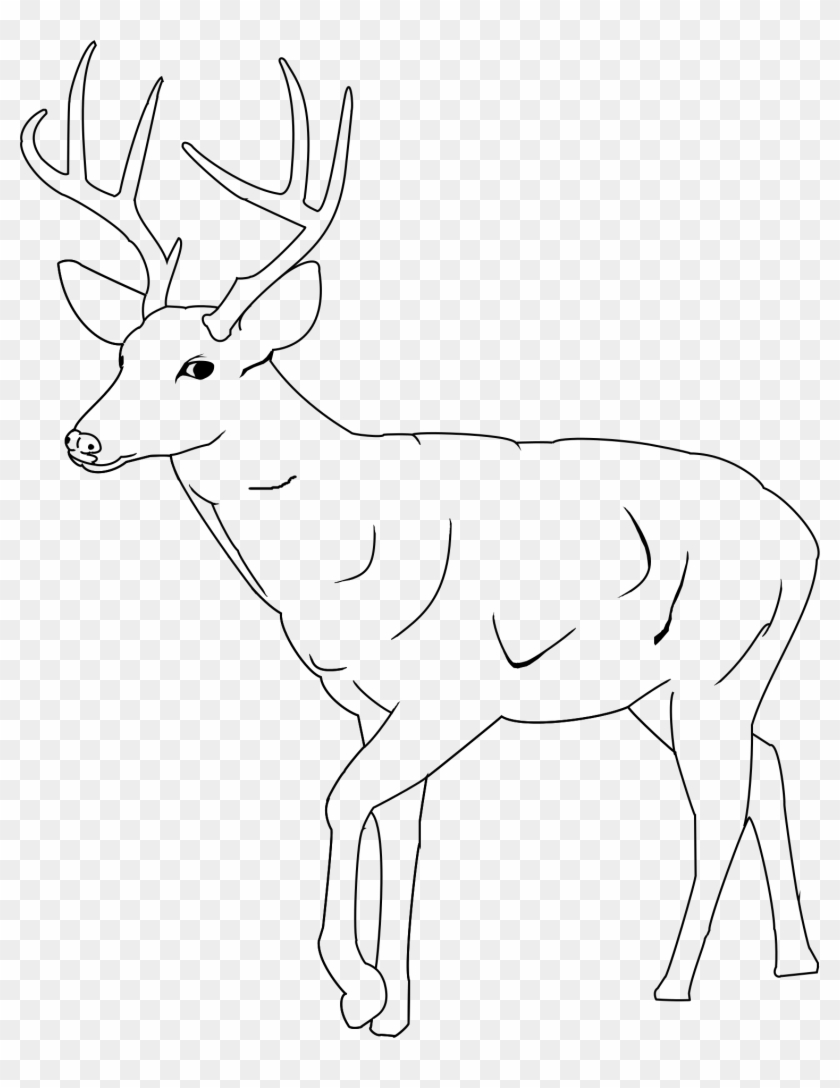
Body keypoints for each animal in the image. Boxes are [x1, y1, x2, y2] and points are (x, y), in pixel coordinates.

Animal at [23, 43, 820, 1036]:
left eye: (198, 365)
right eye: (122, 352)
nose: (83, 441)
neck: (341, 548)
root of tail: (803, 536)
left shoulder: (452, 692)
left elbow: (343, 801)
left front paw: (358, 984)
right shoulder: (373, 702)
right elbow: (398, 829)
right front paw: (391, 1009)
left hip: (715, 668)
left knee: (719, 803)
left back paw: (671, 983)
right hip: (664, 686)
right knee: (769, 767)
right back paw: (795, 961)